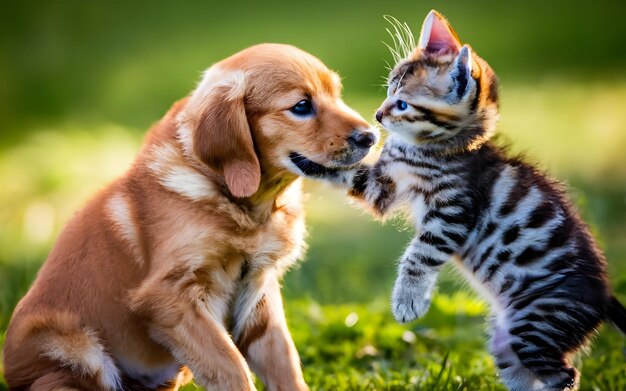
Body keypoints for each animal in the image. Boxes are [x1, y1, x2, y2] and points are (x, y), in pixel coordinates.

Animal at [3, 44, 376, 390]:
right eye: (301, 106)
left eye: (337, 95)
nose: (371, 136)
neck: (245, 205)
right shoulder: (168, 297)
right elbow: (230, 365)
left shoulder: (259, 294)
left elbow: (285, 363)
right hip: (76, 348)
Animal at [290, 10, 624, 391]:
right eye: (389, 89)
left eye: (402, 104)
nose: (376, 115)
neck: (429, 148)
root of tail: (604, 297)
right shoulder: (381, 187)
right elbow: (347, 172)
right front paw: (309, 160)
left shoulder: (452, 212)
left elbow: (419, 255)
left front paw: (407, 300)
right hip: (506, 339)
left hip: (537, 324)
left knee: (565, 374)